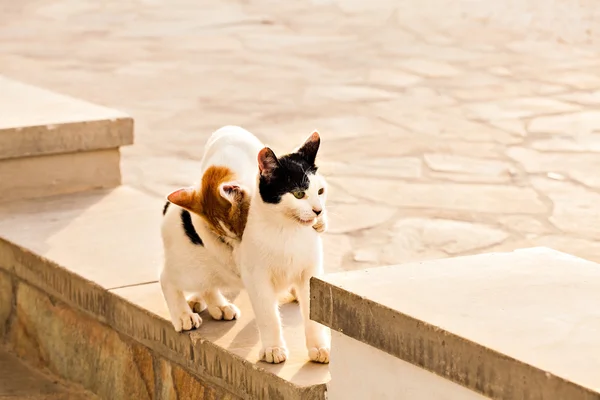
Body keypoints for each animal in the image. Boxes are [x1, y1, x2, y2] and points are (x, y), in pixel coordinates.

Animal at [161, 126, 328, 364]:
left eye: (321, 191)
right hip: (192, 270)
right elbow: (268, 316)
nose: (318, 211)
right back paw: (184, 315)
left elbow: (314, 315)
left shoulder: (309, 274)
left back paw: (219, 306)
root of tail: (172, 208)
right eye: (299, 194)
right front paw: (273, 349)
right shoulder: (257, 277)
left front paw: (318, 347)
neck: (287, 232)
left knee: (206, 285)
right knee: (166, 278)